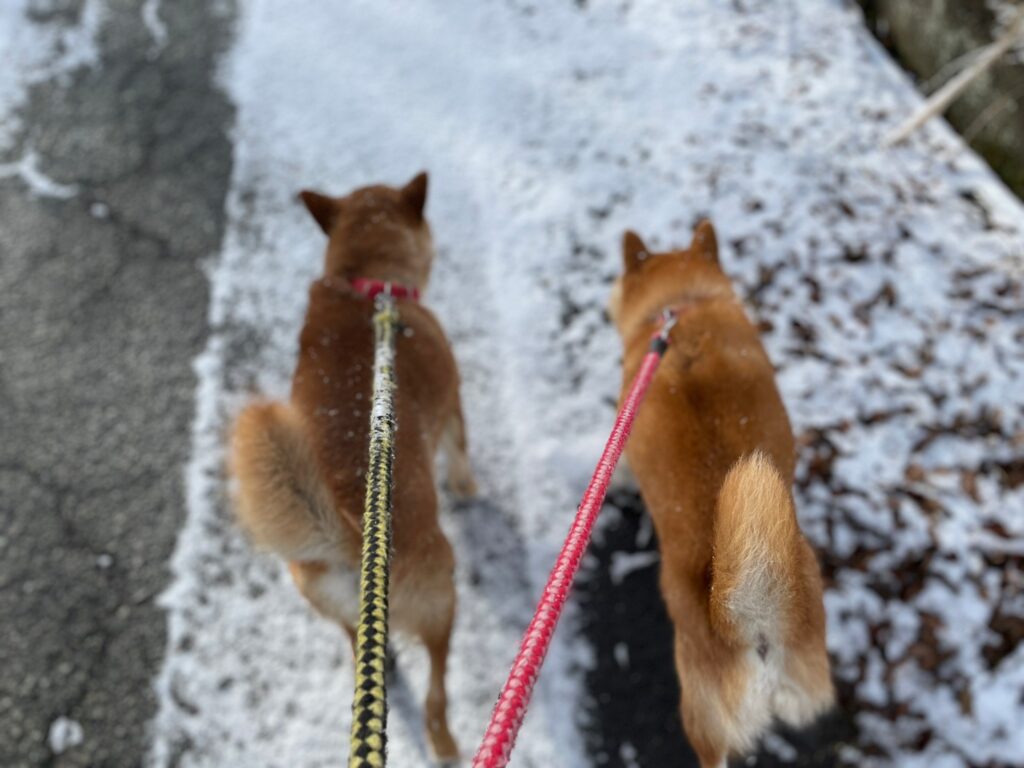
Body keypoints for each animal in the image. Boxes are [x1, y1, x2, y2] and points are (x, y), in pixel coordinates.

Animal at [230, 172, 475, 762]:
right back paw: (445, 742)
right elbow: (461, 452)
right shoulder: (454, 404)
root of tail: (347, 537)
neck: (365, 284)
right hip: (442, 595)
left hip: (338, 611)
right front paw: (467, 486)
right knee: (436, 691)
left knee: (361, 648)